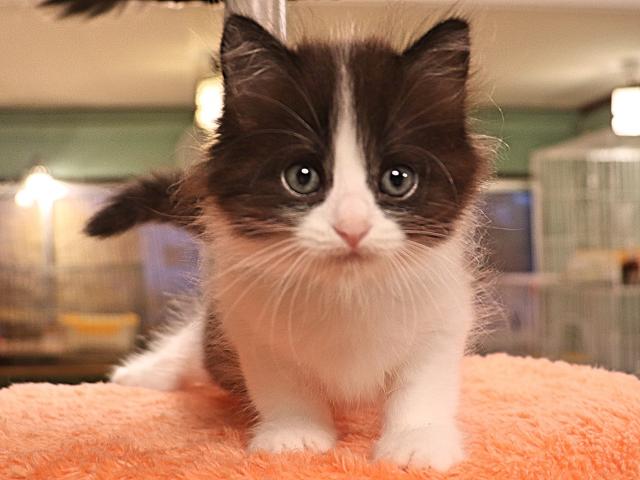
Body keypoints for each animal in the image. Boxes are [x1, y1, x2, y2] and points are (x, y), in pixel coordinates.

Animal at [87, 14, 490, 471]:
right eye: (302, 177)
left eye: (398, 179)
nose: (352, 227)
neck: (346, 294)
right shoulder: (250, 321)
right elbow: (282, 384)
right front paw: (296, 435)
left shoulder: (443, 313)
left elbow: (424, 383)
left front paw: (417, 442)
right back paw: (146, 372)